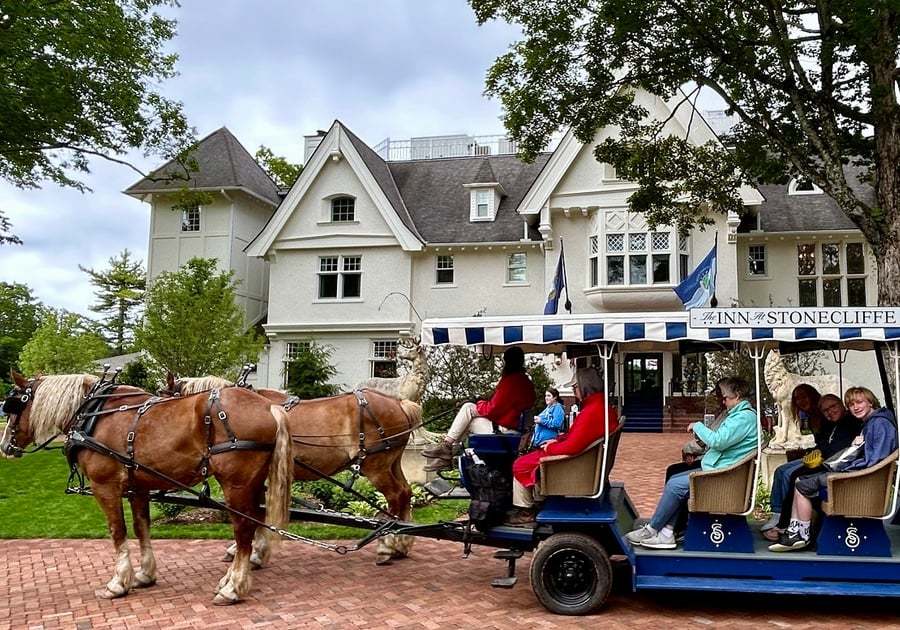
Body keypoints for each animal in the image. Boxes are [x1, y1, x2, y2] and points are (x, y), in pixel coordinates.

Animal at [1, 372, 294, 604]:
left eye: (13, 407)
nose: (5, 446)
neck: (93, 414)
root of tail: (269, 407)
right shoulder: (137, 487)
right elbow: (142, 527)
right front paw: (144, 574)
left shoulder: (104, 486)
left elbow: (117, 531)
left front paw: (118, 583)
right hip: (253, 483)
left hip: (236, 484)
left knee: (243, 528)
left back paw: (233, 587)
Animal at [174, 378, 424, 564]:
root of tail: (400, 404)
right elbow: (256, 512)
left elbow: (253, 513)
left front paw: (249, 551)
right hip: (392, 463)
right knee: (406, 493)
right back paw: (401, 545)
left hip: (376, 467)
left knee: (396, 496)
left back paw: (388, 547)